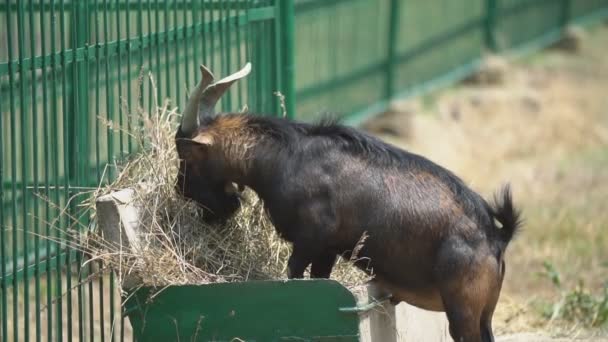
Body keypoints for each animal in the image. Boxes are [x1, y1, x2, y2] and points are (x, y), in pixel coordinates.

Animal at [175, 62, 524, 342]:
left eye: (187, 157)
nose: (182, 192)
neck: (286, 157)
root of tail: (496, 236)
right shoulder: (327, 249)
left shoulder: (309, 241)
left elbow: (294, 277)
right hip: (483, 313)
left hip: (462, 310)